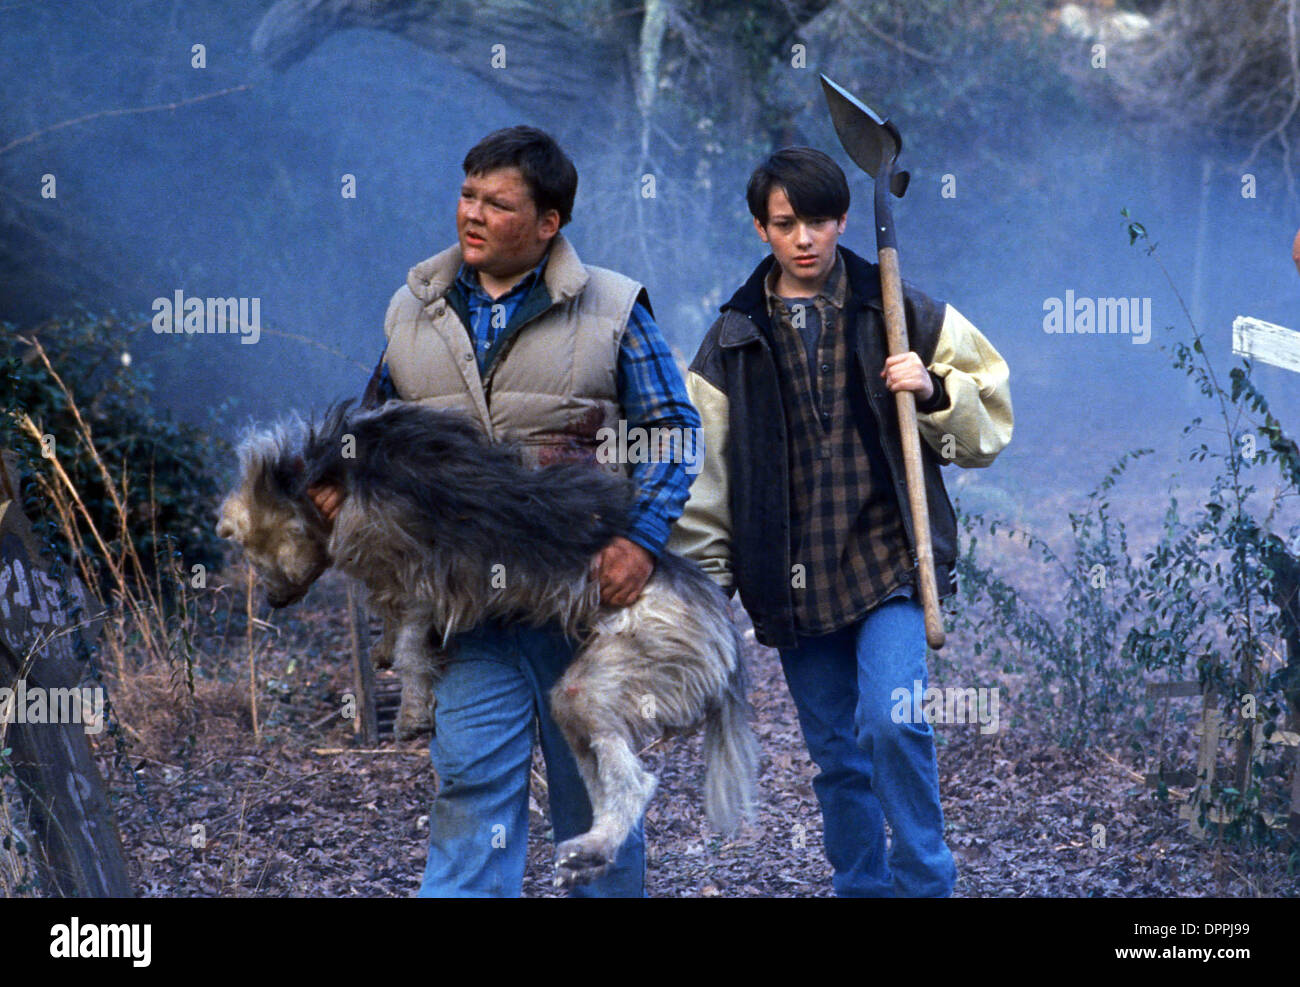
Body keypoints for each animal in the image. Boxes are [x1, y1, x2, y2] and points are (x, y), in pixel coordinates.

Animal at [217, 400, 759, 889]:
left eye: (250, 554)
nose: (272, 601)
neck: (329, 473)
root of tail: (723, 629)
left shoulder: (422, 575)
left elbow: (411, 646)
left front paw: (411, 707)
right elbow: (394, 622)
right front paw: (386, 652)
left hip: (612, 677)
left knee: (635, 784)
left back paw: (595, 845)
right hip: (582, 704)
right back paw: (590, 854)